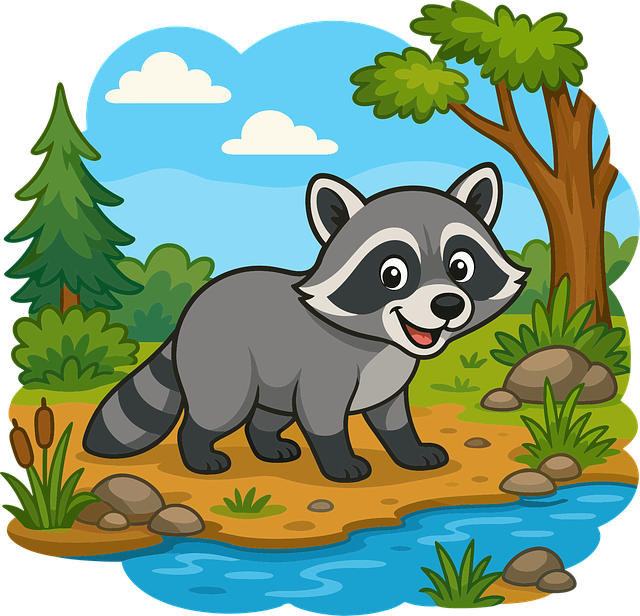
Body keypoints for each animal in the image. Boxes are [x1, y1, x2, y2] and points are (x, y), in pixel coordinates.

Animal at [83, 163, 529, 483]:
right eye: (392, 274)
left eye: (461, 267)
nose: (448, 304)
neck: (382, 341)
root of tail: (194, 308)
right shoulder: (324, 369)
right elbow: (323, 419)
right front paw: (340, 461)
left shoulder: (389, 380)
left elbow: (393, 420)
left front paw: (410, 450)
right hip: (226, 366)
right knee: (216, 412)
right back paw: (198, 453)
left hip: (273, 379)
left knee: (268, 415)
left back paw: (267, 444)